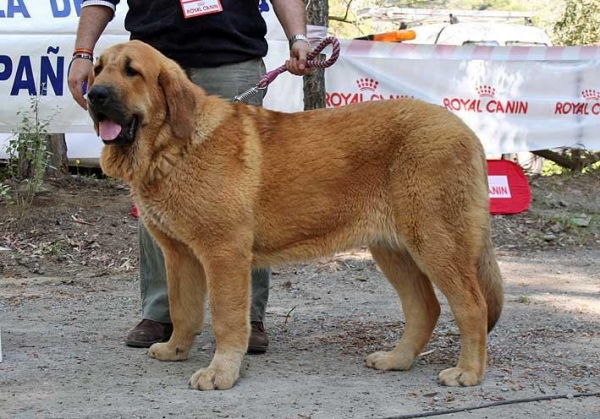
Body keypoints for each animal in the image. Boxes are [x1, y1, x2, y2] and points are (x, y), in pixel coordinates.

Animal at [86, 41, 504, 392]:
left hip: (436, 243)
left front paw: (221, 372)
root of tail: (466, 131)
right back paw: (396, 359)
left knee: (472, 306)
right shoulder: (180, 256)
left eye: (132, 71)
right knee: (425, 308)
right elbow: (183, 309)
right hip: (394, 250)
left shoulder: (223, 255)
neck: (172, 147)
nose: (94, 95)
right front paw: (175, 349)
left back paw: (467, 372)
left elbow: (225, 318)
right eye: (97, 69)